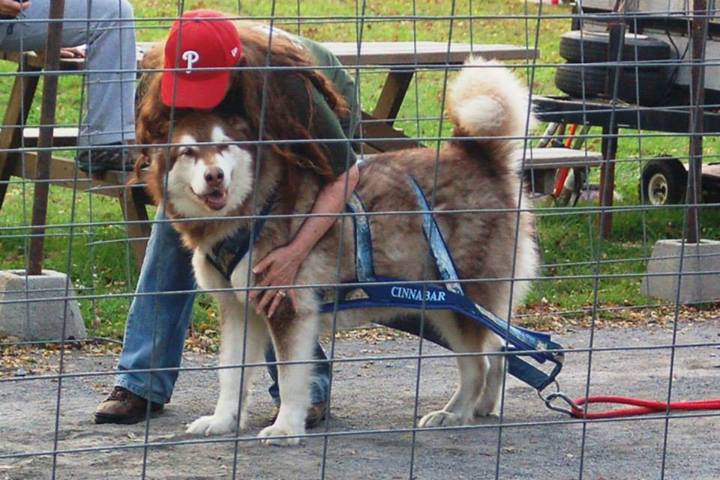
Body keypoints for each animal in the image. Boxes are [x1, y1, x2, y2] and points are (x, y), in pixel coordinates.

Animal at [139, 57, 536, 446]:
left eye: (224, 146)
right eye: (188, 152)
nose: (215, 176)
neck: (252, 209)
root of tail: (479, 157)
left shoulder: (288, 306)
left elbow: (290, 377)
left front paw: (286, 428)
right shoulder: (239, 309)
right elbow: (230, 374)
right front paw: (222, 421)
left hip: (457, 303)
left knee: (480, 364)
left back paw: (454, 413)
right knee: (499, 351)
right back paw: (483, 406)